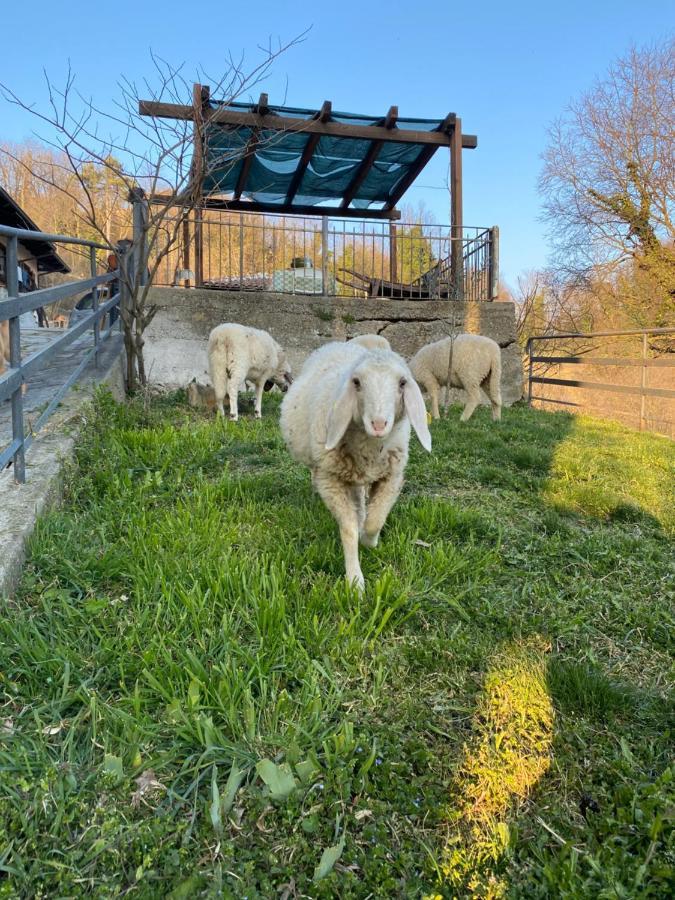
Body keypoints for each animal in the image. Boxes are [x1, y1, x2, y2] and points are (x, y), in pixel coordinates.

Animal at [282, 340, 434, 592]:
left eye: (402, 383)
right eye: (357, 382)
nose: (379, 424)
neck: (370, 447)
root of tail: (338, 343)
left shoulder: (391, 477)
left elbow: (375, 521)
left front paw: (369, 541)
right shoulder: (331, 480)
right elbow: (349, 529)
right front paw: (354, 581)